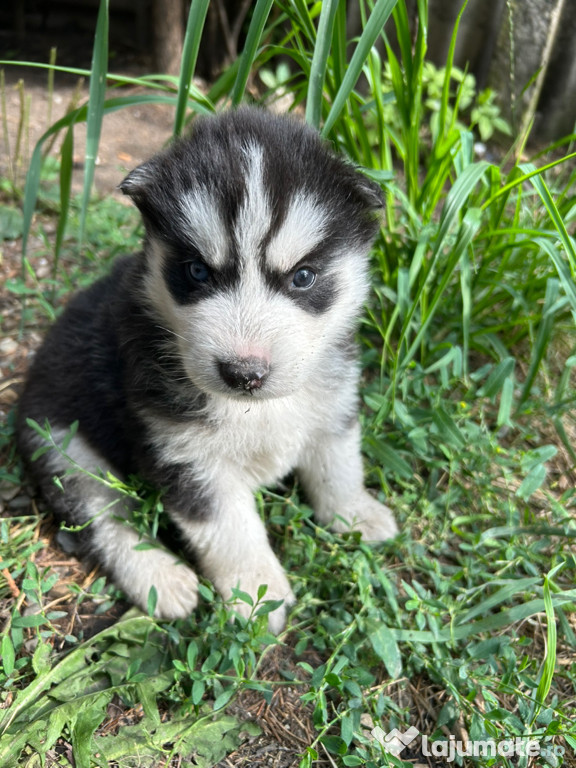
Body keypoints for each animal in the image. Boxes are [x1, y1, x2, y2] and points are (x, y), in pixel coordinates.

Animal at [16, 109, 396, 636]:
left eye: (303, 276)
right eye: (197, 271)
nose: (244, 373)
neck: (256, 409)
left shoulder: (333, 404)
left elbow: (338, 465)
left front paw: (355, 513)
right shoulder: (187, 459)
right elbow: (230, 529)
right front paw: (258, 594)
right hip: (62, 445)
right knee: (104, 515)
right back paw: (160, 577)